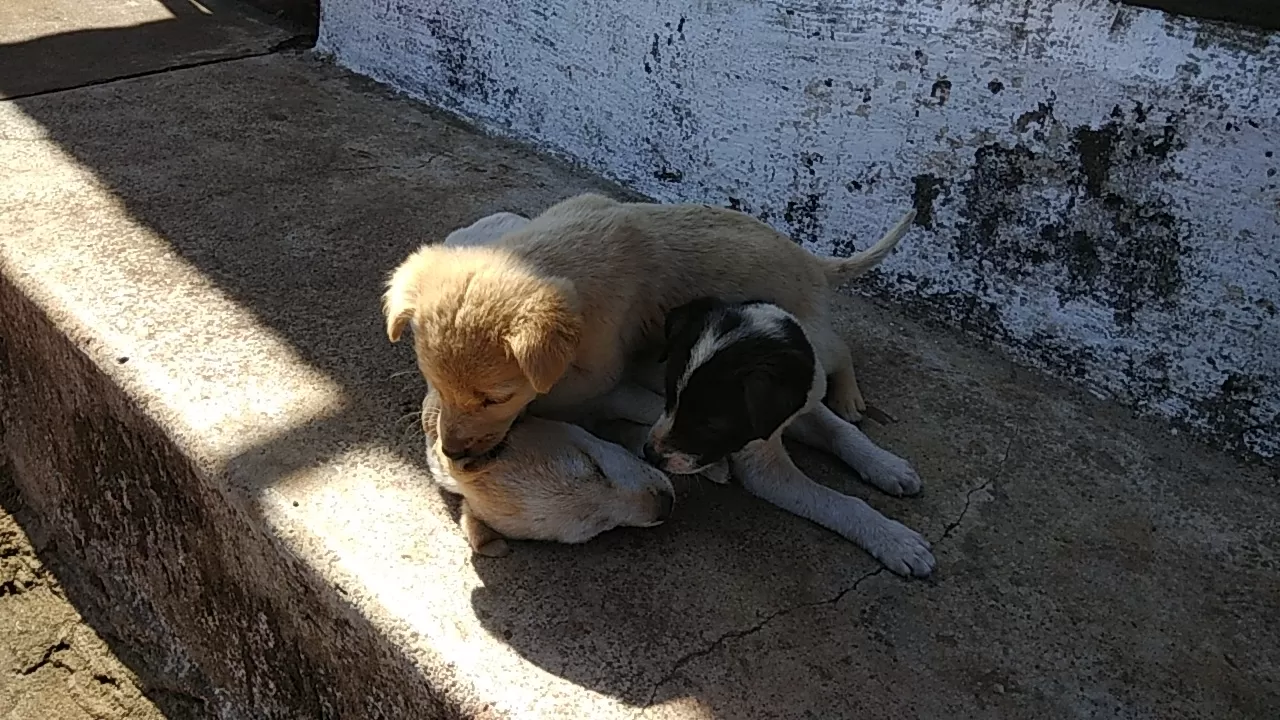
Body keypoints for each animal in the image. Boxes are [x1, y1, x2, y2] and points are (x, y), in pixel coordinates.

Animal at [384, 193, 916, 458]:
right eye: (434, 380)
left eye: (496, 399)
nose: (451, 452)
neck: (553, 255)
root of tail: (813, 262)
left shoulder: (600, 367)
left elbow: (552, 394)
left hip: (809, 330)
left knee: (840, 347)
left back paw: (849, 397)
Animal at [645, 294, 936, 573]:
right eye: (670, 396)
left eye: (711, 425)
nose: (649, 454)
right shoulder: (764, 468)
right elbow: (840, 502)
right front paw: (896, 541)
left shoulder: (799, 407)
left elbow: (842, 431)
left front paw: (887, 466)